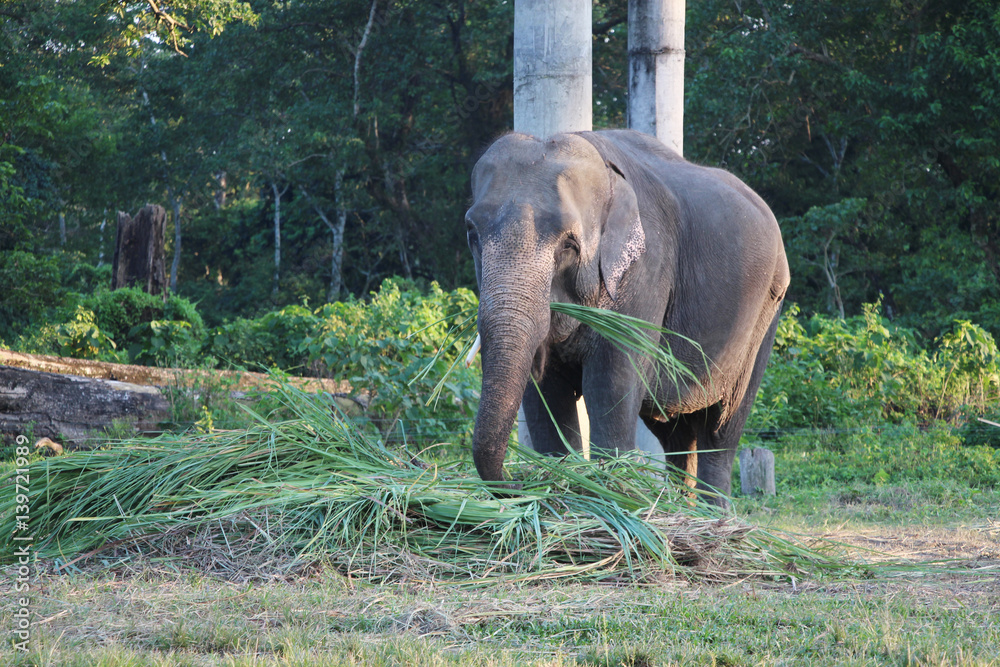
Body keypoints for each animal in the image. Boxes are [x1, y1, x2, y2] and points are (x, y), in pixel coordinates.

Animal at [466, 129, 788, 506]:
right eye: (472, 234)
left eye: (569, 245)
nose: (514, 483)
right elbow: (544, 392)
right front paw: (558, 479)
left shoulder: (645, 271)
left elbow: (610, 383)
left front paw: (607, 492)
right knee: (676, 432)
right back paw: (680, 504)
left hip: (766, 311)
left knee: (721, 429)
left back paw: (714, 512)